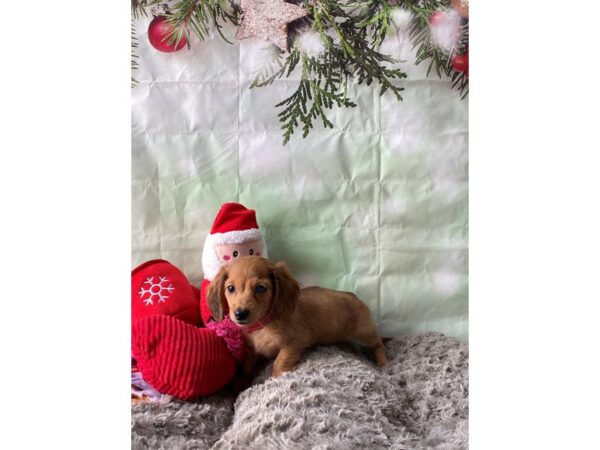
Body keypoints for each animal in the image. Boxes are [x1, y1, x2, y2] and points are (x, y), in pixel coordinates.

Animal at [207, 255, 390, 378]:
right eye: (230, 288)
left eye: (260, 288)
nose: (240, 314)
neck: (264, 324)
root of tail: (356, 297)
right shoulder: (251, 349)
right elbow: (247, 365)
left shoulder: (294, 343)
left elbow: (279, 363)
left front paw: (276, 377)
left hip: (365, 332)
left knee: (378, 345)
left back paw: (383, 363)